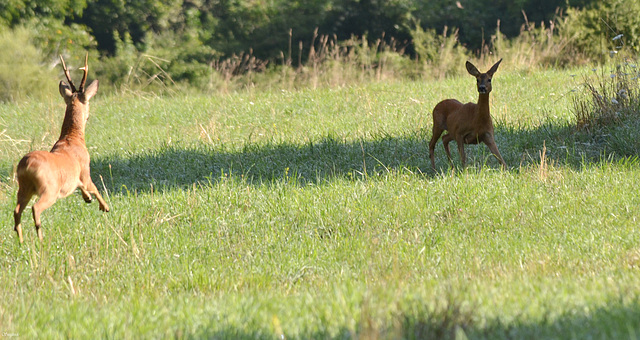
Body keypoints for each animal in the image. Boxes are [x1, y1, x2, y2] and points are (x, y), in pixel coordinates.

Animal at [12, 54, 109, 243]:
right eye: (88, 103)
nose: (88, 116)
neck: (72, 138)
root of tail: (26, 166)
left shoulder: (75, 177)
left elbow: (80, 185)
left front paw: (87, 199)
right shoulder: (85, 169)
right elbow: (94, 186)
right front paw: (105, 206)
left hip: (24, 188)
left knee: (16, 210)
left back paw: (21, 240)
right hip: (49, 189)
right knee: (35, 208)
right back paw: (40, 238)